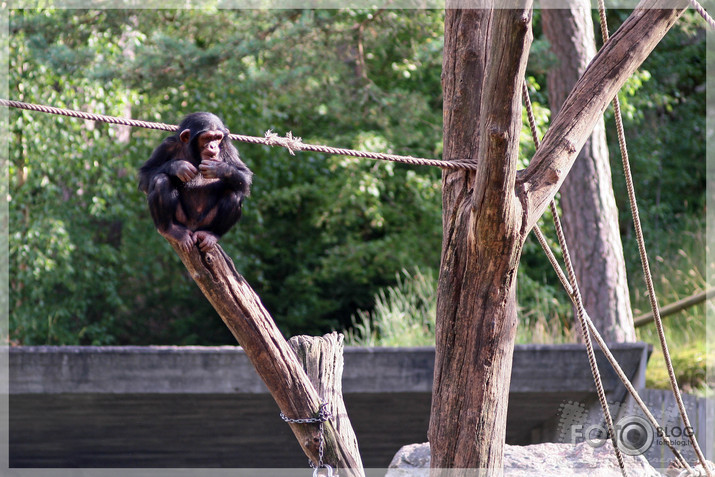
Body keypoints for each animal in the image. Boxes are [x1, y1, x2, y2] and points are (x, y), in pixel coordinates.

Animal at [138, 112, 253, 253]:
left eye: (217, 137)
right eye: (208, 137)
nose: (213, 146)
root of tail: (193, 228)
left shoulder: (227, 147)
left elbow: (244, 176)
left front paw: (218, 168)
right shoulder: (167, 145)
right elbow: (146, 173)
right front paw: (179, 167)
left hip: (206, 223)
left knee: (234, 192)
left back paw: (211, 234)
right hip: (181, 220)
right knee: (161, 179)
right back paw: (170, 229)